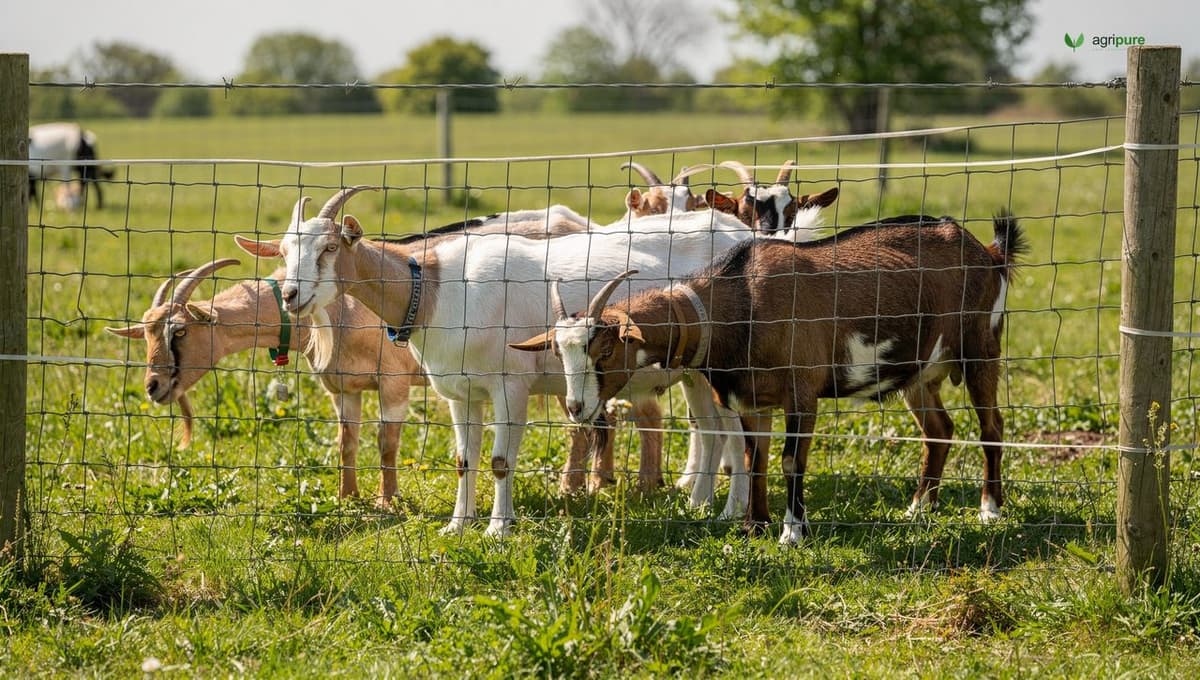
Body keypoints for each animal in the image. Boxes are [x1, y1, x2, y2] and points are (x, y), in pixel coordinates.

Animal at [233, 187, 824, 536]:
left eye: (330, 248)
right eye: (283, 252)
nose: (292, 295)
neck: (436, 289)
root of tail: (747, 235)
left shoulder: (508, 387)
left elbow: (499, 461)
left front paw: (498, 529)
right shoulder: (460, 393)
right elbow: (465, 461)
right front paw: (458, 526)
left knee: (734, 429)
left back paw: (729, 511)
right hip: (693, 369)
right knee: (710, 426)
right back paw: (701, 504)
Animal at [514, 213, 1027, 544]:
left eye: (603, 350)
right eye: (559, 351)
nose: (577, 408)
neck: (742, 302)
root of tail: (988, 252)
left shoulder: (803, 393)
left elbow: (788, 462)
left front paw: (791, 531)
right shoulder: (750, 400)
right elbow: (753, 459)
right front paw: (752, 526)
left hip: (981, 348)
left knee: (992, 427)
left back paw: (989, 509)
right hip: (920, 373)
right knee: (939, 430)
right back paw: (919, 507)